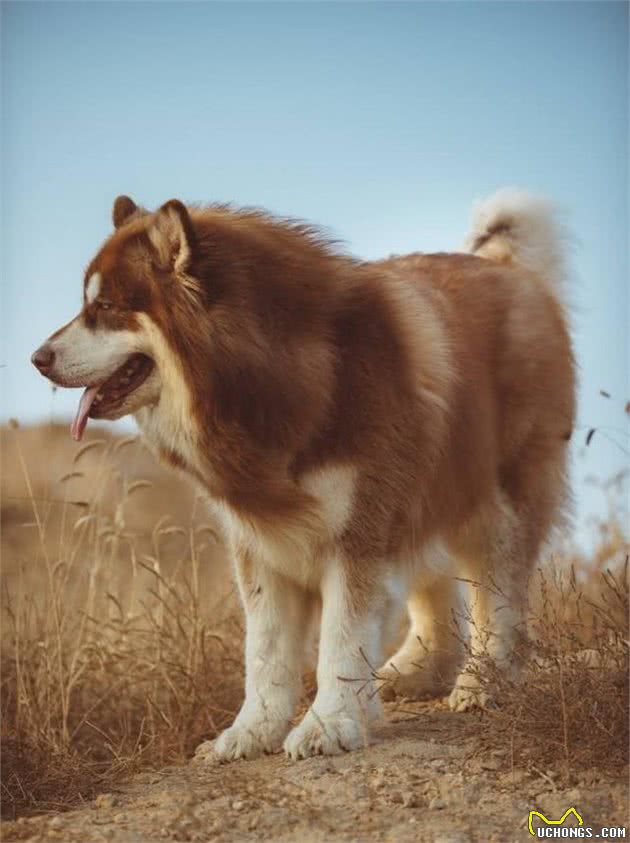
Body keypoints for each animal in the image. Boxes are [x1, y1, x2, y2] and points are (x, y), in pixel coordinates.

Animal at [33, 188, 576, 760]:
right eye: (87, 305)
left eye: (105, 308)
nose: (36, 358)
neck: (274, 382)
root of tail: (508, 269)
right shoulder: (261, 544)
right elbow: (265, 653)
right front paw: (251, 732)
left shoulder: (357, 536)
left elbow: (340, 640)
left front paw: (329, 724)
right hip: (428, 493)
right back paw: (419, 669)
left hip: (499, 501)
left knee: (499, 594)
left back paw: (485, 679)